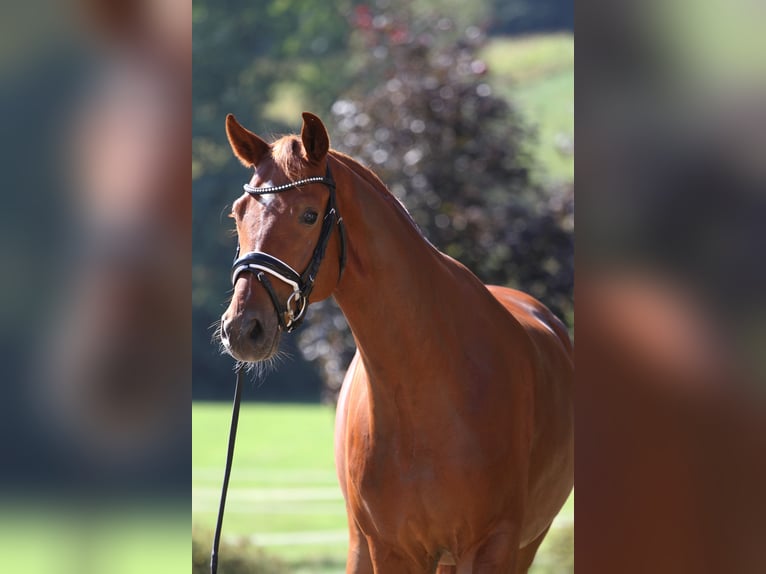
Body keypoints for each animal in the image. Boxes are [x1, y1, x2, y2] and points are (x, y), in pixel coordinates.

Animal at [219, 113, 572, 574]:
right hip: (361, 542)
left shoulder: (491, 546)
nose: (243, 328)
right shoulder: (390, 548)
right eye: (238, 213)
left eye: (309, 215)